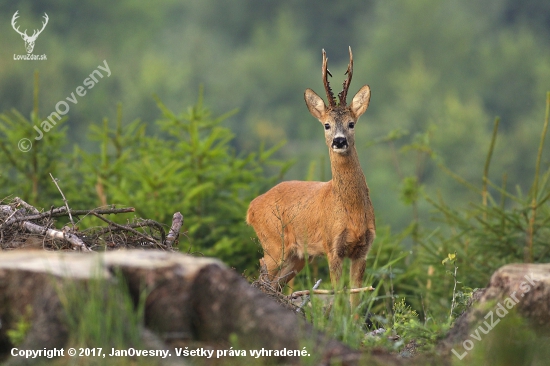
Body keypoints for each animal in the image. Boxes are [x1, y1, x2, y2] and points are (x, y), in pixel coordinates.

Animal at [248, 47, 378, 308]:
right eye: (326, 125)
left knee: (276, 283)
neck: (351, 212)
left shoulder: (362, 250)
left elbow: (355, 300)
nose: (339, 141)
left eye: (351, 123)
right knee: (261, 274)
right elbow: (338, 294)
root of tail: (251, 208)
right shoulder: (332, 246)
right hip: (274, 243)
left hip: (297, 256)